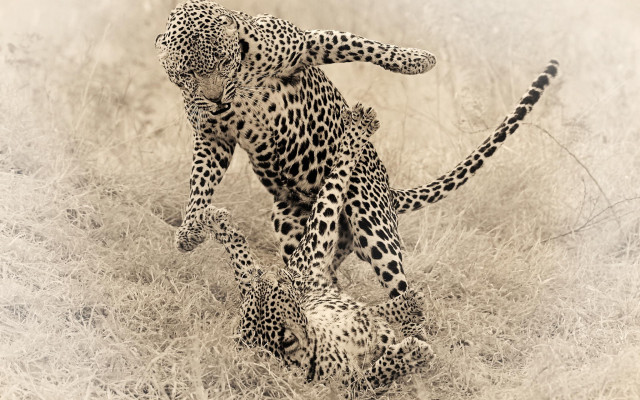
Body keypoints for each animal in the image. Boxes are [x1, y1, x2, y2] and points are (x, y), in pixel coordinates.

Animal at [156, 0, 559, 299]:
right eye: (188, 74)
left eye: (224, 62)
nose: (216, 100)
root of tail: (389, 188)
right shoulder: (214, 139)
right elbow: (199, 184)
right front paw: (190, 231)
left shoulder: (300, 44)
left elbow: (359, 44)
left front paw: (419, 60)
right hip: (290, 219)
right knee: (319, 272)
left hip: (372, 224)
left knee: (402, 289)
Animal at [203, 104, 434, 393]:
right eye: (281, 290)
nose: (278, 276)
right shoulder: (348, 384)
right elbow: (373, 376)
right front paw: (411, 354)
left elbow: (370, 313)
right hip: (314, 245)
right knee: (333, 184)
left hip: (307, 258)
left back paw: (217, 220)